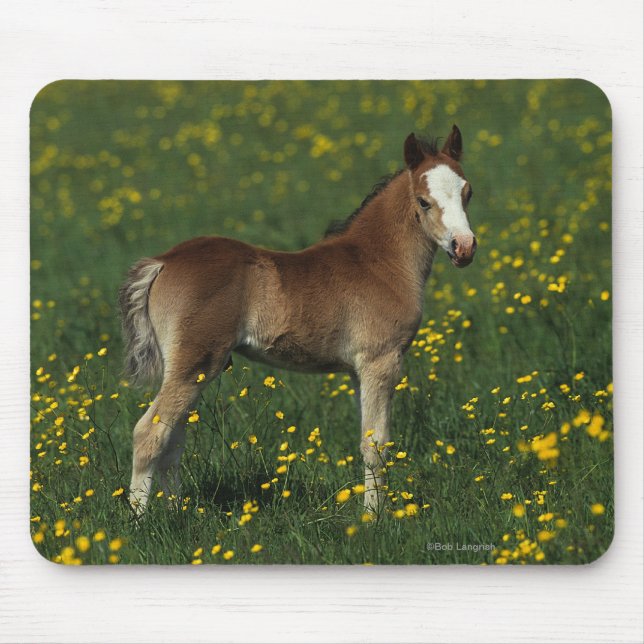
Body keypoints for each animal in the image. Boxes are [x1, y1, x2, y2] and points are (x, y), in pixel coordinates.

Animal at [119, 126, 477, 515]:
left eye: (467, 193)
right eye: (424, 201)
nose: (464, 247)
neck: (378, 262)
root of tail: (163, 261)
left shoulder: (357, 370)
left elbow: (366, 437)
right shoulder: (381, 361)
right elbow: (376, 446)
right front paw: (375, 517)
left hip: (193, 370)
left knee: (173, 440)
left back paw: (177, 512)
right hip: (195, 363)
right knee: (149, 433)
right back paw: (142, 521)